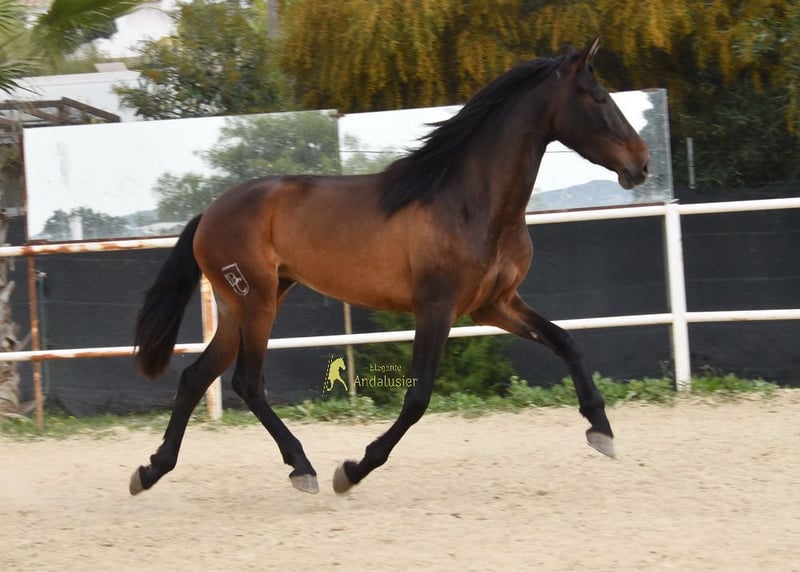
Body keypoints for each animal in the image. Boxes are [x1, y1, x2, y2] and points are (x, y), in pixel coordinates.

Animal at [129, 37, 649, 496]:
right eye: (599, 98)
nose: (641, 164)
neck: (469, 203)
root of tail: (209, 212)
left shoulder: (495, 305)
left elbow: (567, 342)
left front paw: (601, 431)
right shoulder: (436, 309)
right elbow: (417, 398)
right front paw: (353, 470)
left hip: (245, 303)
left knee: (196, 377)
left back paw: (151, 470)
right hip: (256, 303)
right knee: (246, 382)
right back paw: (303, 468)